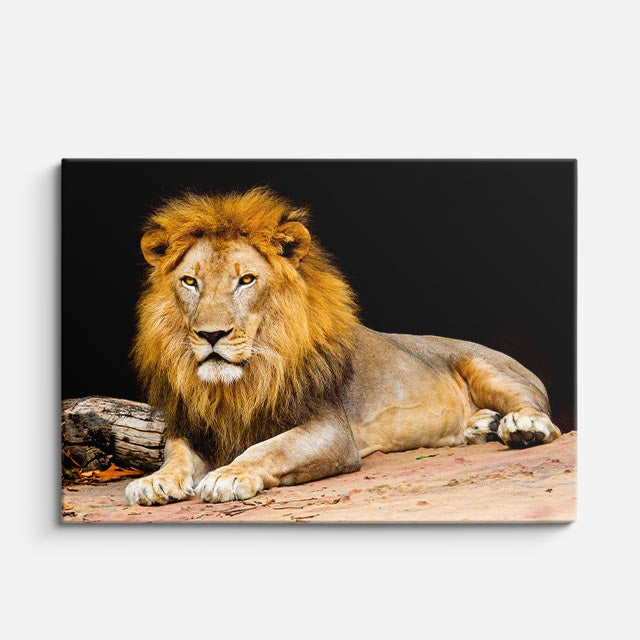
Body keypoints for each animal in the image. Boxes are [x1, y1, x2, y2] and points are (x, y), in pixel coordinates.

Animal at [125, 187, 561, 506]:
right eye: (190, 281)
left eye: (246, 280)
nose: (211, 335)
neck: (241, 384)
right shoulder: (192, 425)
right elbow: (175, 454)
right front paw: (156, 482)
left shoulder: (330, 431)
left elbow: (270, 448)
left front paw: (229, 475)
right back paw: (479, 426)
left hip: (487, 367)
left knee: (540, 412)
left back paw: (520, 428)